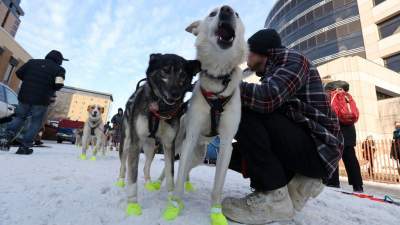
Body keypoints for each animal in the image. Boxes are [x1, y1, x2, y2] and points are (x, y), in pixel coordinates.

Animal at [117, 53, 202, 217]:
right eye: (165, 71)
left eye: (183, 75)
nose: (175, 93)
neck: (160, 110)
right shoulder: (135, 144)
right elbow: (133, 176)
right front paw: (132, 204)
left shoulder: (169, 145)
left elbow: (170, 174)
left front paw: (171, 200)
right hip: (127, 143)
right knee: (123, 164)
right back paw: (120, 180)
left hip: (152, 148)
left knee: (146, 167)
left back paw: (149, 183)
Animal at [163, 4, 247, 224]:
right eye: (212, 13)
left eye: (237, 14)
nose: (227, 9)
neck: (218, 80)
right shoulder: (191, 136)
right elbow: (177, 177)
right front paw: (175, 206)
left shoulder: (226, 144)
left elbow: (217, 186)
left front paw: (216, 213)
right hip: (180, 144)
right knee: (170, 169)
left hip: (199, 155)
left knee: (186, 170)